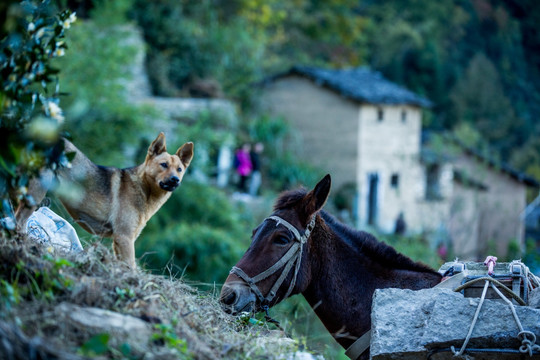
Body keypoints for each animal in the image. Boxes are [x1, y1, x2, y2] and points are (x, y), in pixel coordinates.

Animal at [15, 132, 194, 268]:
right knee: (18, 221)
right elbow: (131, 267)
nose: (175, 180)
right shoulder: (124, 238)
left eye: (179, 169)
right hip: (35, 193)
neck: (144, 190)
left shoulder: (121, 241)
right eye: (163, 165)